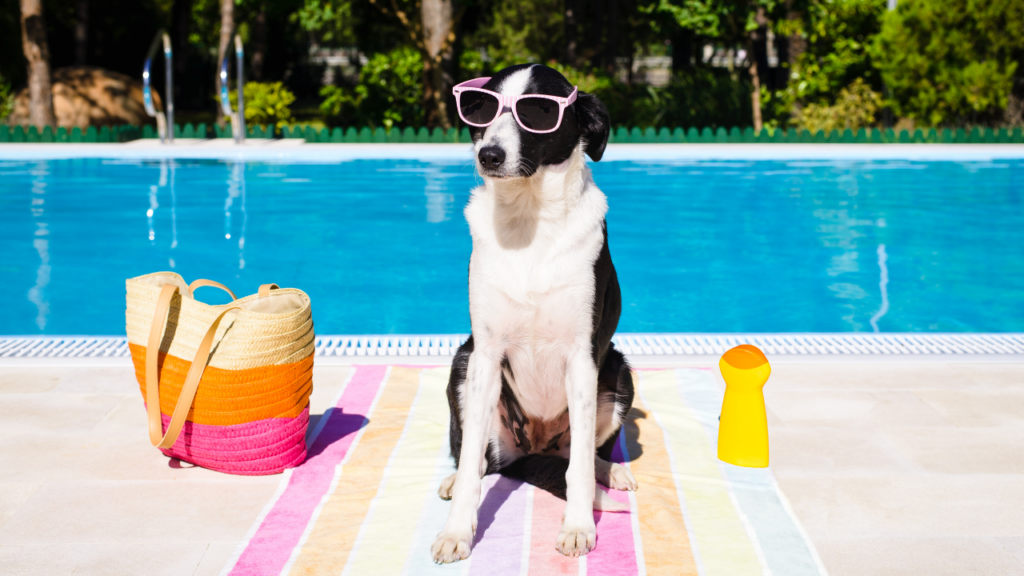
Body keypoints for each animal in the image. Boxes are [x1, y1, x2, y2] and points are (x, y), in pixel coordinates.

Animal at [428, 63, 634, 561]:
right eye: (481, 108)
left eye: (538, 112)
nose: (489, 154)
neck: (529, 219)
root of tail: (532, 449)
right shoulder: (484, 355)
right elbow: (470, 466)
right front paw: (456, 532)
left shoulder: (582, 357)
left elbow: (578, 469)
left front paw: (578, 526)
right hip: (462, 363)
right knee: (480, 459)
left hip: (619, 373)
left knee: (579, 455)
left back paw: (610, 471)